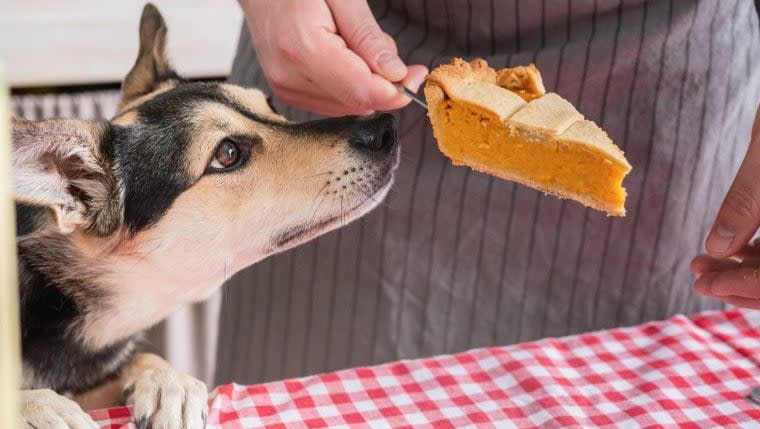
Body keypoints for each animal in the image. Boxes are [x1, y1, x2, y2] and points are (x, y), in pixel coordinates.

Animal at [14, 4, 400, 428]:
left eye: (271, 107)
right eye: (227, 154)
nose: (385, 129)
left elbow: (141, 360)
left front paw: (168, 381)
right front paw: (39, 405)